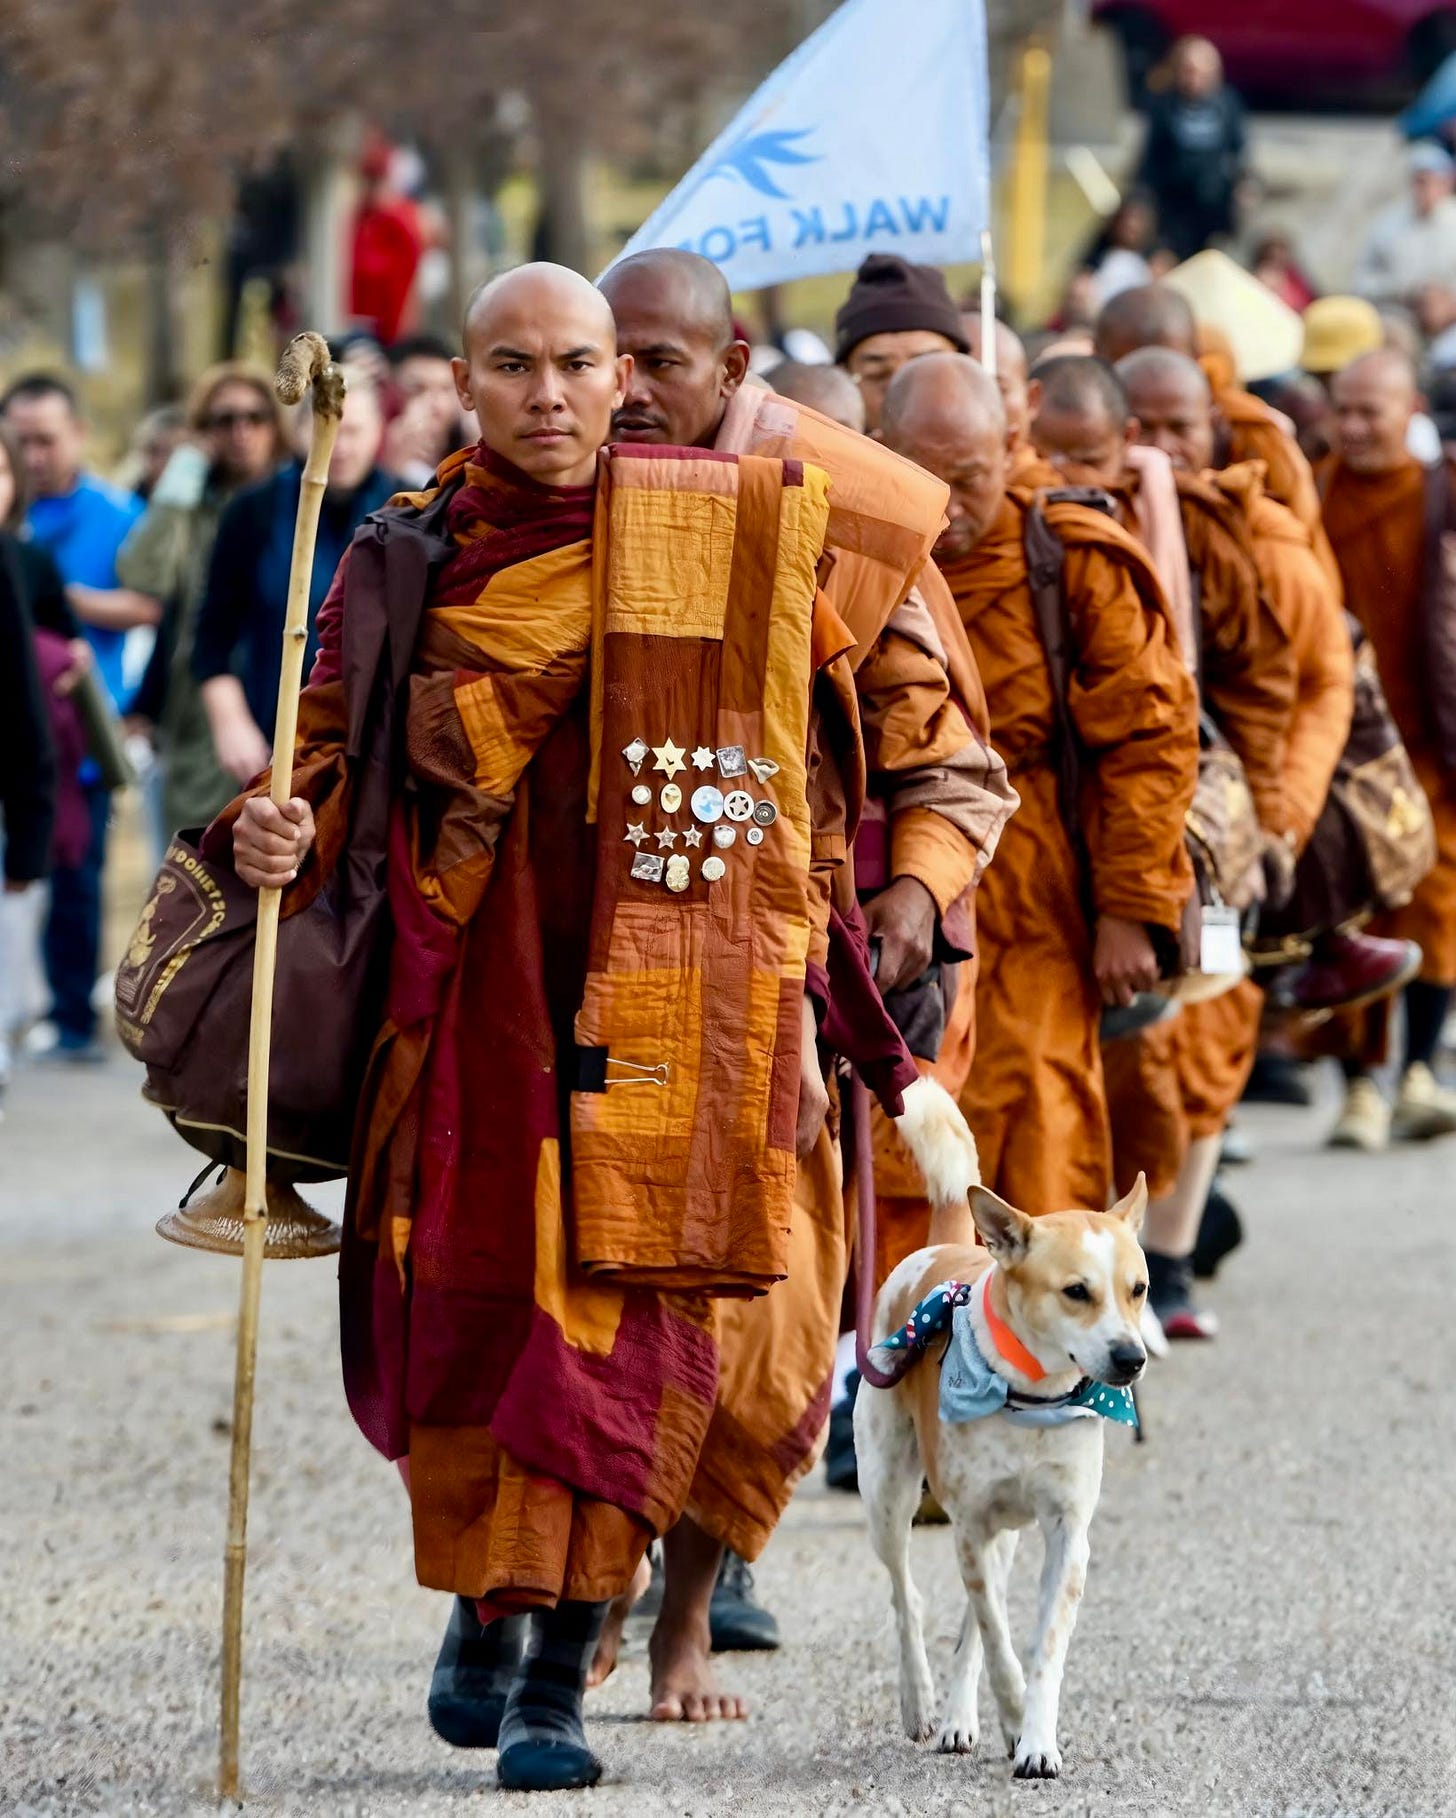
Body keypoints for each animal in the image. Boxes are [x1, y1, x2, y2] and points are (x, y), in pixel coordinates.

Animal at [854, 1166, 1149, 1780]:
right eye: (1077, 1291)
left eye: (1139, 1290)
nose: (1132, 1357)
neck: (1034, 1395)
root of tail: (939, 1248)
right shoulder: (968, 1528)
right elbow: (996, 1635)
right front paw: (1013, 1712)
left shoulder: (1067, 1535)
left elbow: (1040, 1649)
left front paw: (1035, 1739)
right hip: (888, 1498)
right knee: (907, 1599)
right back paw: (921, 1701)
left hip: (1004, 1534)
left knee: (969, 1627)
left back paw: (959, 1718)